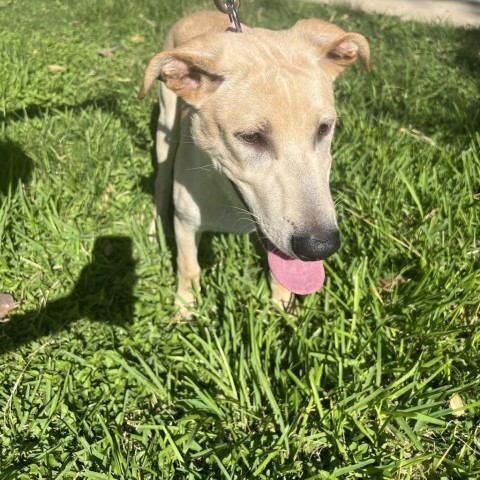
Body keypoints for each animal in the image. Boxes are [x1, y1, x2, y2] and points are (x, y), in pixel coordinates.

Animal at [139, 9, 372, 316]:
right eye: (251, 137)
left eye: (324, 128)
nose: (320, 247)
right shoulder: (186, 223)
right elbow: (188, 269)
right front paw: (185, 309)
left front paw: (284, 306)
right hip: (165, 130)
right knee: (161, 183)